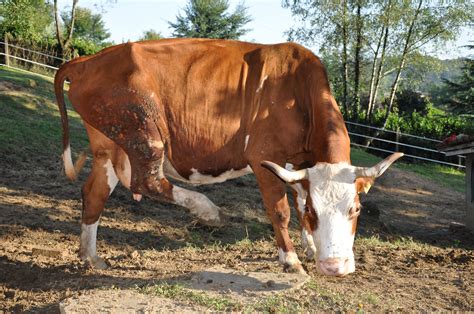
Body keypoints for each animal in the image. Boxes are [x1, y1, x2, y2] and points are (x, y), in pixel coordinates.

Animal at [55, 38, 404, 276]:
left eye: (356, 208)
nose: (335, 266)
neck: (297, 90)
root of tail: (89, 59)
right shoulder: (264, 157)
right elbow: (281, 211)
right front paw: (291, 259)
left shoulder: (300, 165)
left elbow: (298, 197)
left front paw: (311, 245)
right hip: (144, 131)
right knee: (148, 182)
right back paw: (208, 211)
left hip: (110, 145)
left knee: (96, 192)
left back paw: (90, 255)